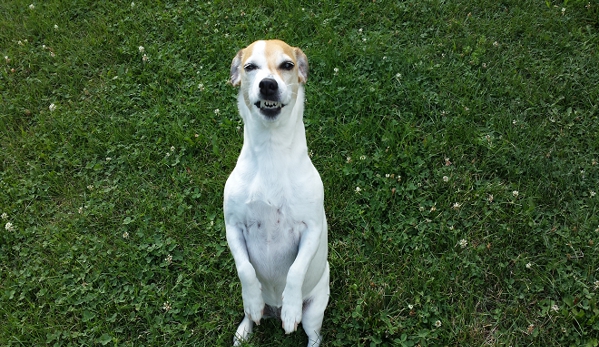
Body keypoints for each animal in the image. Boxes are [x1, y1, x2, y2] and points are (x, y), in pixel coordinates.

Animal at [225, 39, 330, 346]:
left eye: (288, 65)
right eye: (250, 67)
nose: (268, 84)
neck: (272, 150)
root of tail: (273, 308)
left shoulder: (311, 229)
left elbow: (296, 271)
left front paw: (291, 306)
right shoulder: (233, 227)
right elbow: (245, 270)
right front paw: (252, 298)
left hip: (315, 310)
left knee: (314, 335)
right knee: (252, 314)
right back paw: (247, 325)